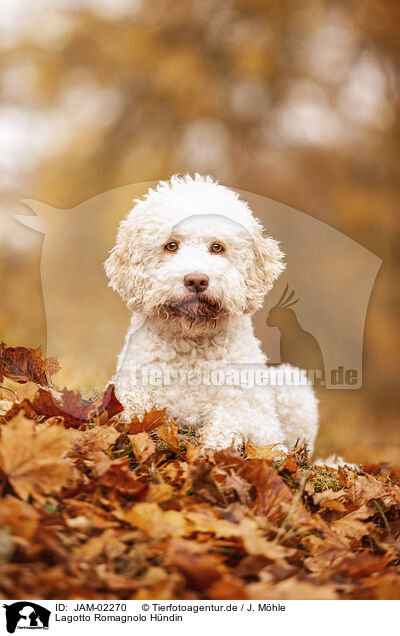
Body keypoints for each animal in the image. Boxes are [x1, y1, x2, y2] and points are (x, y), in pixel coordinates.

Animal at [104, 174, 318, 452]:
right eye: (170, 246)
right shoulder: (131, 387)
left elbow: (232, 422)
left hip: (293, 387)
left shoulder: (259, 419)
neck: (191, 345)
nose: (196, 280)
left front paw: (214, 446)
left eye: (217, 247)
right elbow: (134, 407)